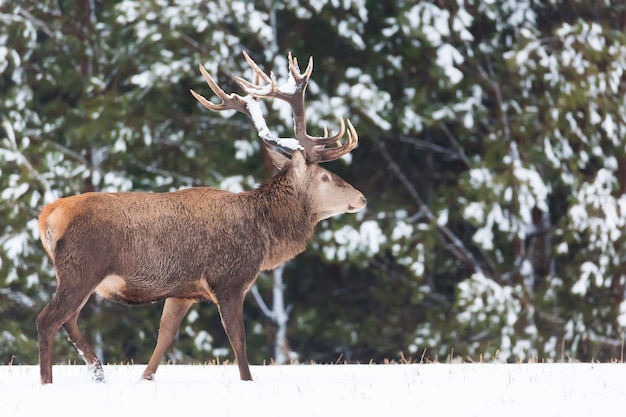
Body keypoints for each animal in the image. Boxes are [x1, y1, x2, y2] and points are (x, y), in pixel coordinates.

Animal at [35, 51, 366, 384]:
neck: (265, 236)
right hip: (82, 267)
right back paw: (48, 381)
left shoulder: (183, 292)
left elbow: (165, 336)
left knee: (68, 321)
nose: (362, 197)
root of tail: (48, 215)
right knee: (47, 319)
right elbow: (237, 339)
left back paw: (98, 370)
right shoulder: (228, 279)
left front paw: (145, 378)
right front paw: (248, 381)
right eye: (326, 177)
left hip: (78, 274)